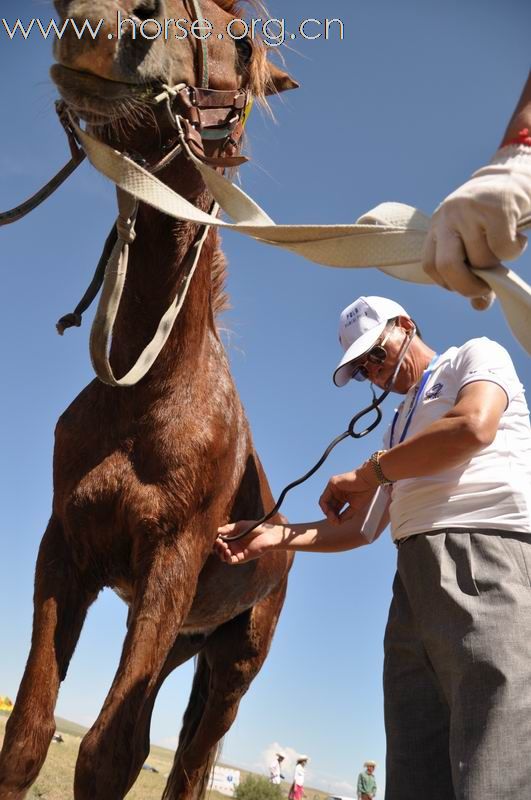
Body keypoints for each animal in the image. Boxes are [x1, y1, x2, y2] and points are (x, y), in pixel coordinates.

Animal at [0, 3, 300, 796]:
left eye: (243, 44)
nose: (105, 21)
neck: (151, 397)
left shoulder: (169, 564)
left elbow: (108, 754)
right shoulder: (64, 552)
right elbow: (30, 733)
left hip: (232, 664)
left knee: (191, 763)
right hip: (181, 641)